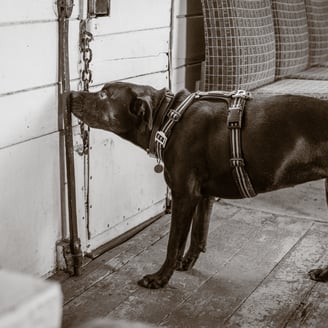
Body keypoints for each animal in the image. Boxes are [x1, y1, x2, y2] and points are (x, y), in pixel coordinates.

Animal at [70, 82, 328, 290]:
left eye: (104, 94)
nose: (70, 94)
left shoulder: (184, 194)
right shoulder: (204, 195)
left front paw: (160, 278)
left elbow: (174, 243)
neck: (168, 116)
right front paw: (186, 262)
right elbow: (198, 234)